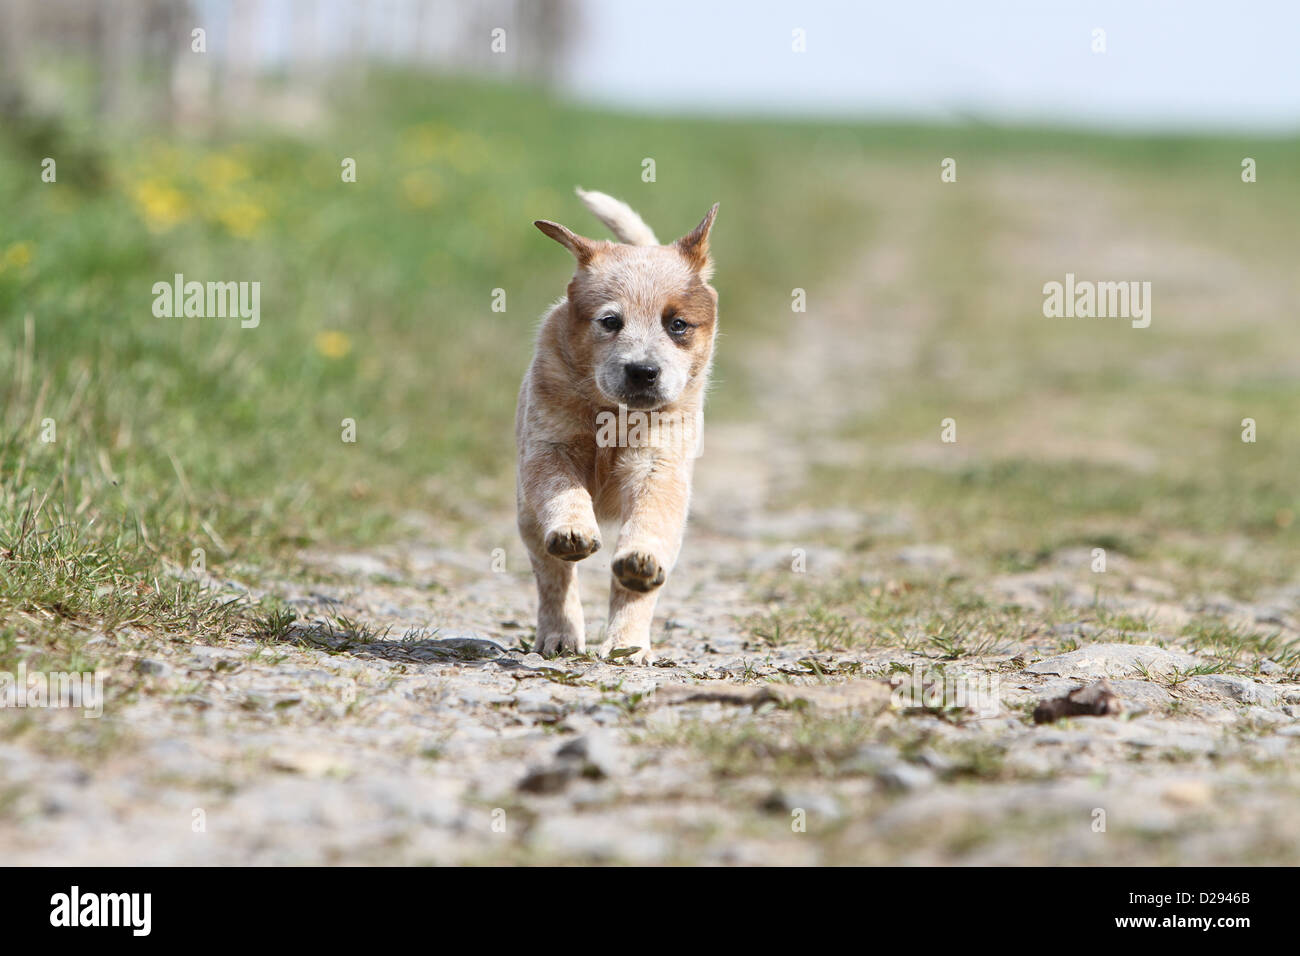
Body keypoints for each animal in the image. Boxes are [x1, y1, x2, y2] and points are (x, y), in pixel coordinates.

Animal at [514, 188, 722, 665]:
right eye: (610, 321)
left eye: (677, 324)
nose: (643, 371)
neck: (614, 417)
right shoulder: (548, 449)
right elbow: (563, 492)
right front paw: (573, 529)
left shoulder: (660, 465)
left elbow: (650, 520)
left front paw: (640, 559)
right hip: (527, 519)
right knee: (554, 576)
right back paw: (560, 635)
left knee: (631, 588)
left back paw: (627, 642)